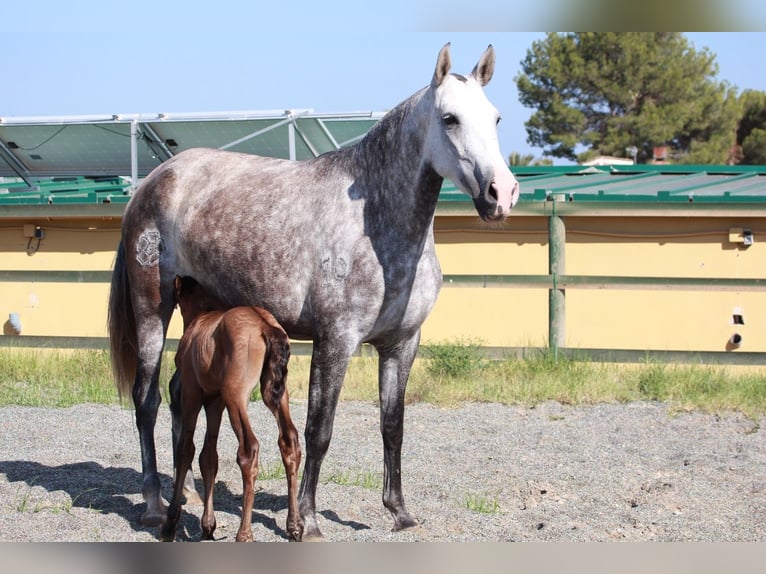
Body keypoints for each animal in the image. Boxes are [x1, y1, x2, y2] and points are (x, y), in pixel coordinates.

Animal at [109, 42, 520, 544]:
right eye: (450, 119)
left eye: (496, 118)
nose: (502, 193)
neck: (378, 225)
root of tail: (151, 184)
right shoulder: (335, 341)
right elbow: (318, 430)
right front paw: (307, 519)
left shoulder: (401, 345)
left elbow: (393, 427)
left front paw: (399, 512)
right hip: (152, 309)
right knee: (145, 401)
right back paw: (153, 505)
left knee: (176, 396)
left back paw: (183, 492)